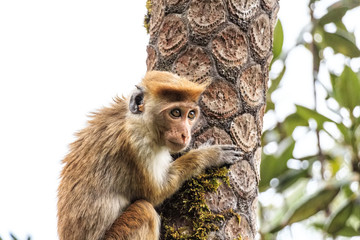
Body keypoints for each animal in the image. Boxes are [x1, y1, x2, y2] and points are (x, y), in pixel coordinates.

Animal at [57, 71, 242, 240]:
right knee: (144, 210)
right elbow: (156, 193)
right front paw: (209, 155)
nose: (185, 134)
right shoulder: (138, 146)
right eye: (175, 113)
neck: (135, 119)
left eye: (191, 114)